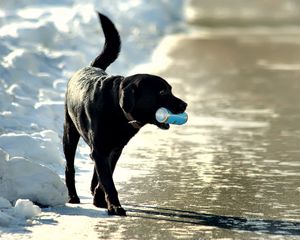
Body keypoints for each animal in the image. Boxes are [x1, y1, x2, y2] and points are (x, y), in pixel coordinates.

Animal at [62, 12, 186, 216]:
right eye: (162, 92)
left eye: (170, 89)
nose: (185, 104)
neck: (117, 110)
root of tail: (90, 67)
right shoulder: (101, 148)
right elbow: (108, 181)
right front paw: (115, 206)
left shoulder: (115, 149)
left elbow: (106, 175)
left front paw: (100, 199)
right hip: (70, 132)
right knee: (69, 167)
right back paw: (73, 196)